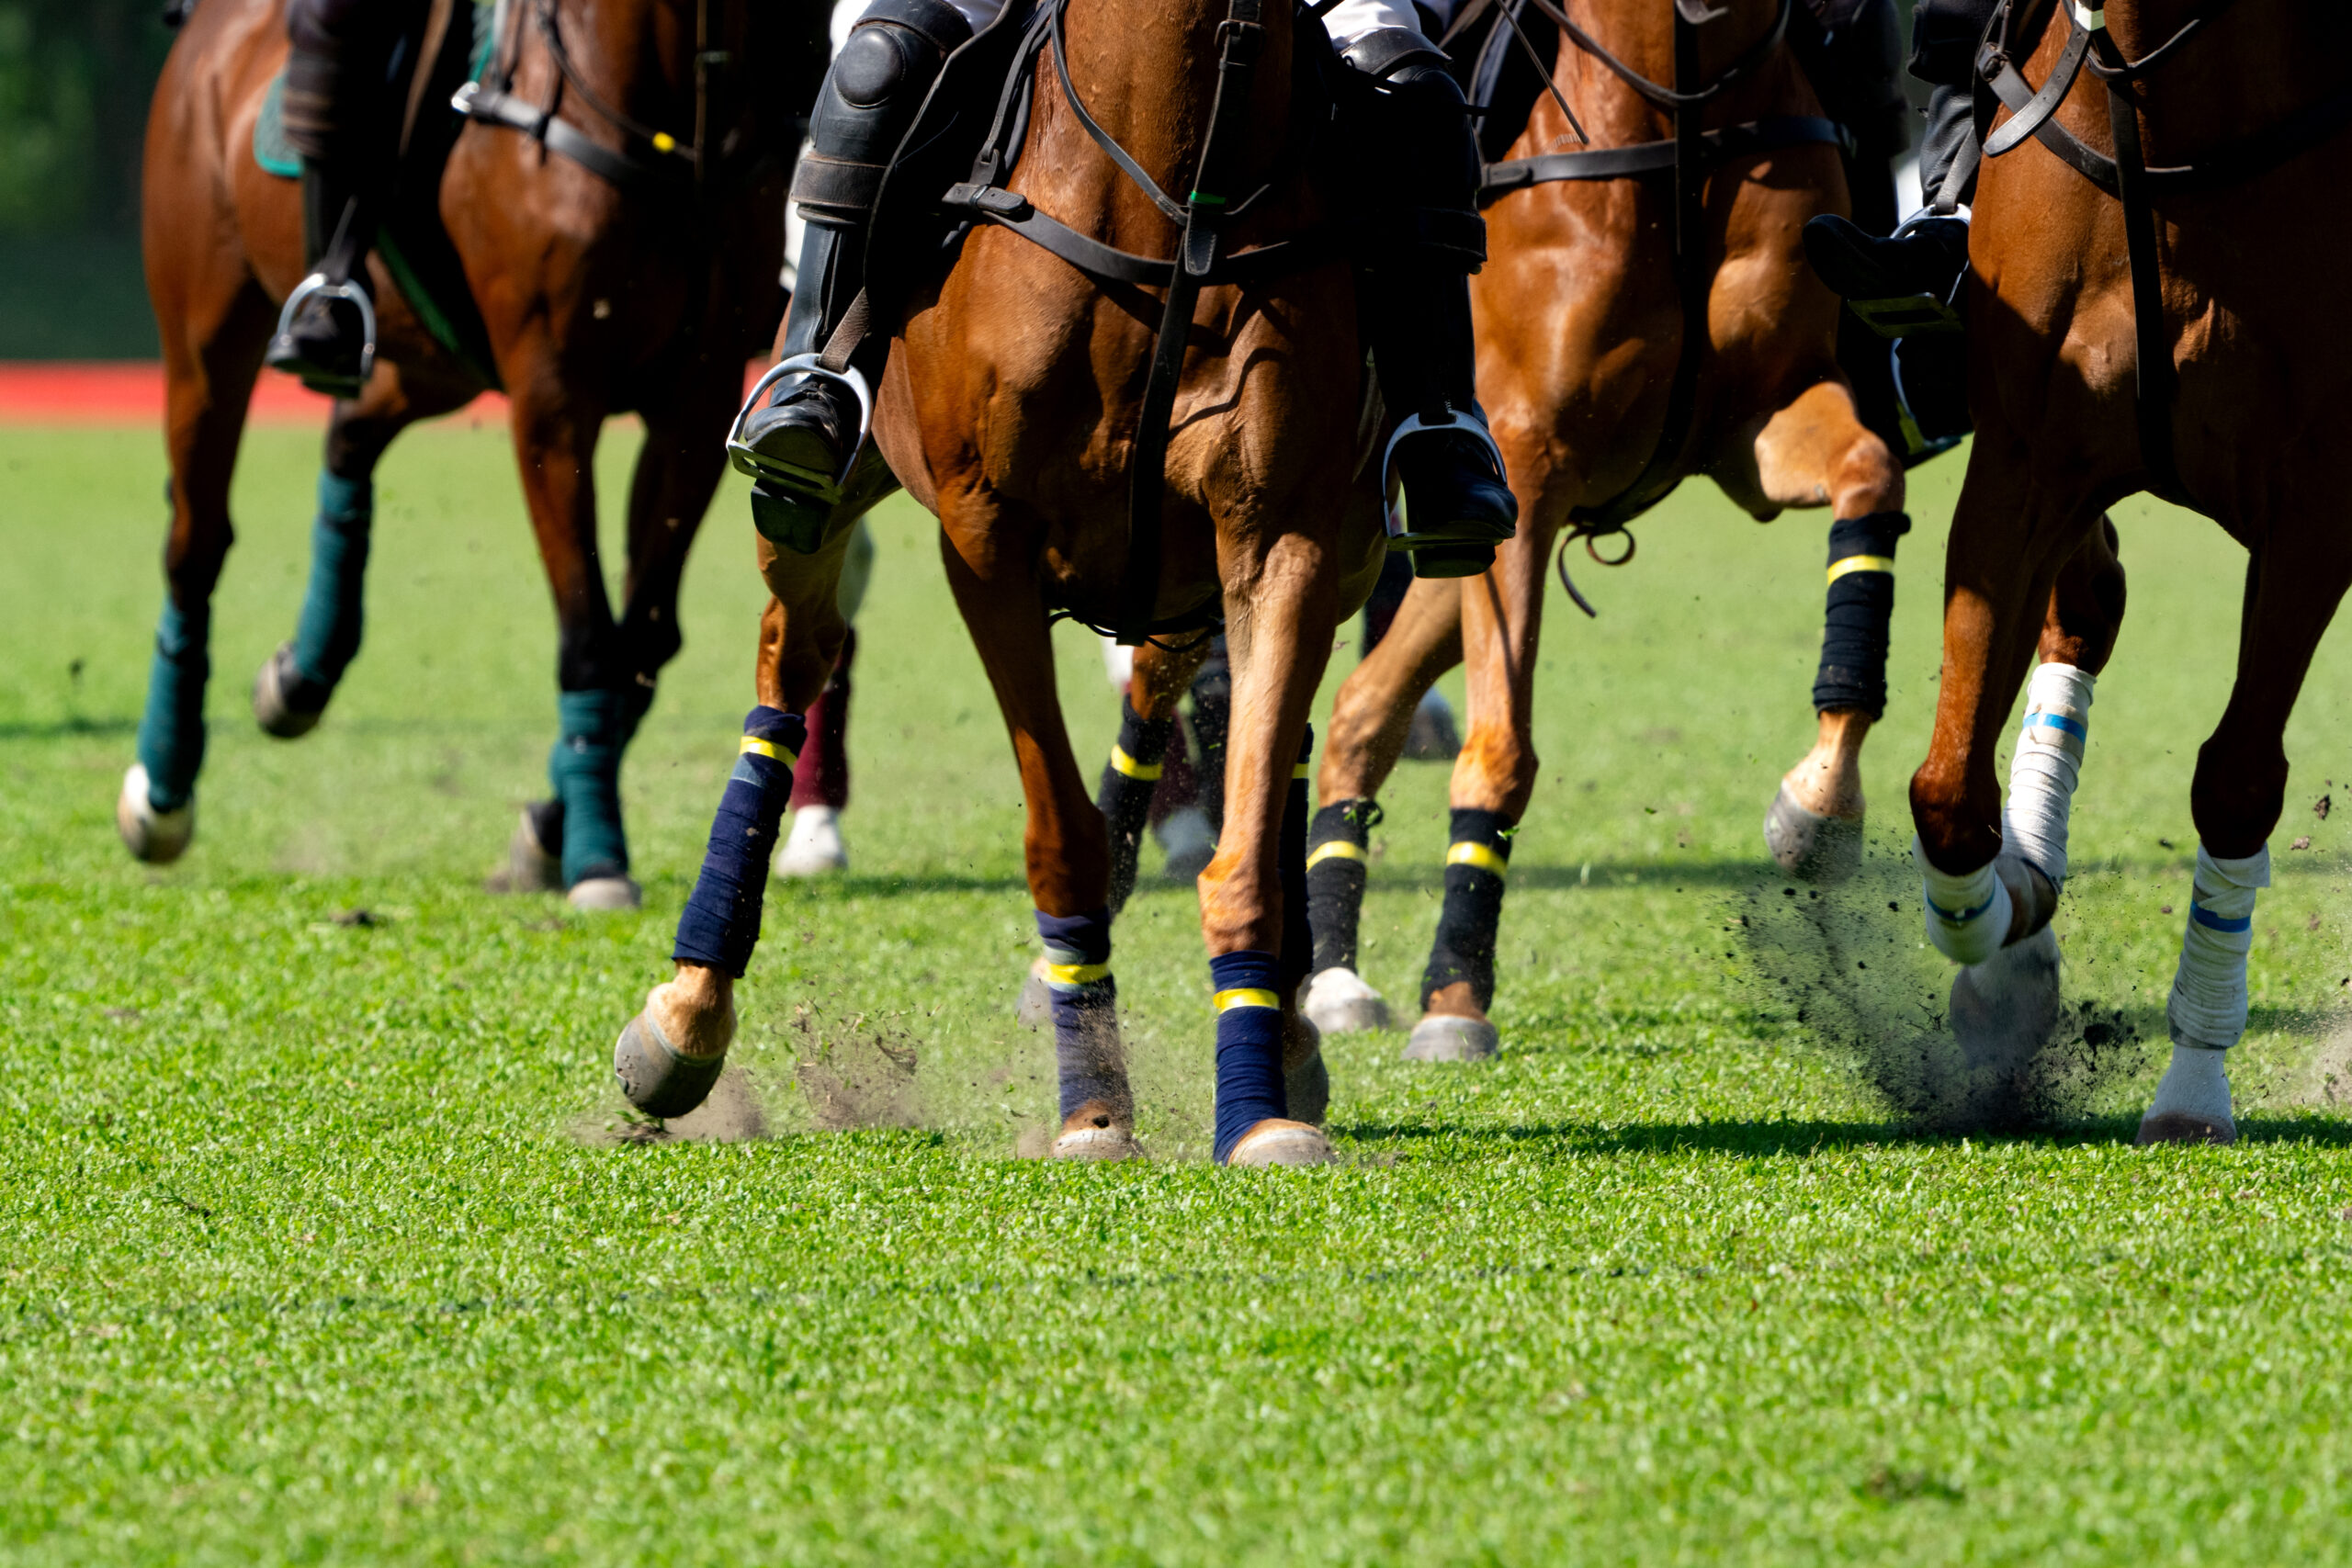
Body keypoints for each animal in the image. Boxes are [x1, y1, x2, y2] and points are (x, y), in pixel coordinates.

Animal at [121, 0, 818, 907]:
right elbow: (589, 634)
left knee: (350, 435)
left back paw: (300, 677)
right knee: (195, 544)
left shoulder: (695, 400)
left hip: (434, 357)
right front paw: (597, 855)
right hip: (205, 342)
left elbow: (642, 640)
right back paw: (160, 792)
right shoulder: (552, 397)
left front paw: (549, 830)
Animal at [611, 0, 1392, 1166]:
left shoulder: (1278, 539)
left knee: (1272, 741)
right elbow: (1061, 836)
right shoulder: (986, 545)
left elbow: (1248, 841)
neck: (1175, 197)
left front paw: (1256, 1109)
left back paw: (1291, 1041)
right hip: (822, 490)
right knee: (790, 665)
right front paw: (1095, 1107)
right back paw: (687, 1015)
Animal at [1298, 0, 1918, 1053]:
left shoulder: (1761, 423)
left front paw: (1820, 806)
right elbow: (1500, 750)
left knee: (1358, 711)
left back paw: (1335, 973)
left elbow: (1866, 483)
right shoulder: (1527, 466)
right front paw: (1456, 994)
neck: (1681, 114)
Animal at [1900, 0, 2342, 1146]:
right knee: (2085, 611)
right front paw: (2009, 947)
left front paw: (2192, 1087)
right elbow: (1947, 793)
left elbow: (2235, 779)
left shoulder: (2316, 503)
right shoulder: (2023, 467)